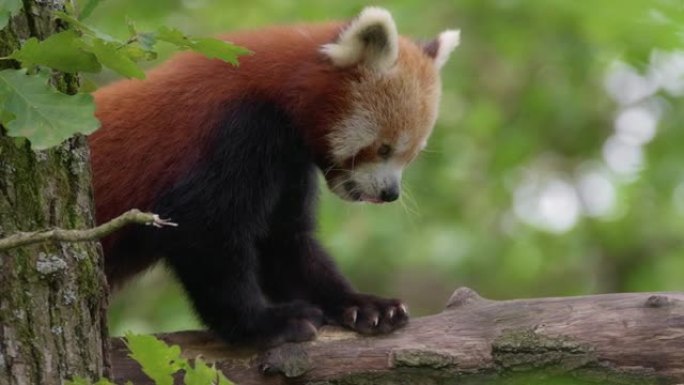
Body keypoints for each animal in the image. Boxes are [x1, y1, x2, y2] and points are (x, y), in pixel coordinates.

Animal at [87, 7, 460, 346]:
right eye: (384, 148)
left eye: (411, 155)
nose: (390, 193)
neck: (275, 91)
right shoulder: (235, 133)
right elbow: (205, 234)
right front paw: (265, 323)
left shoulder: (288, 165)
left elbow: (283, 242)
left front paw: (362, 304)